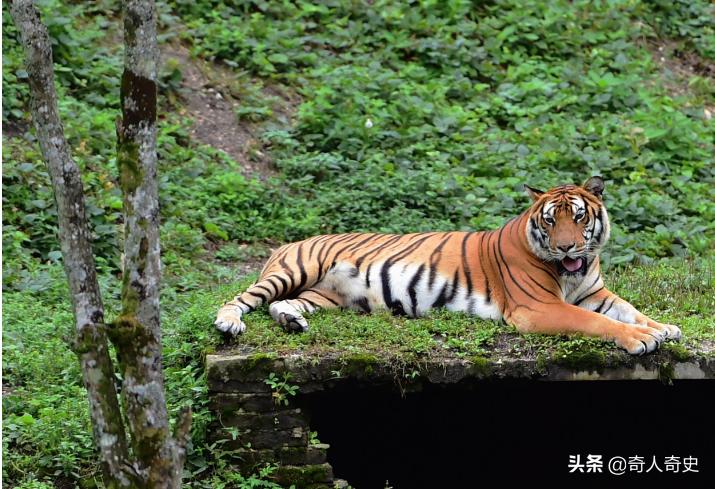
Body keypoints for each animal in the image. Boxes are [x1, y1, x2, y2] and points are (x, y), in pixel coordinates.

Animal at [215, 176, 681, 355]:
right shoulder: (538, 308)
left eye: (580, 217)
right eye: (551, 220)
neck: (575, 272)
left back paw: (292, 322)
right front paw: (641, 339)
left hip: (322, 296)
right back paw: (229, 323)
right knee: (242, 298)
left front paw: (663, 327)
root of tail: (290, 241)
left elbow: (629, 310)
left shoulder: (594, 292)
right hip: (295, 270)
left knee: (284, 304)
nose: (567, 247)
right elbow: (598, 322)